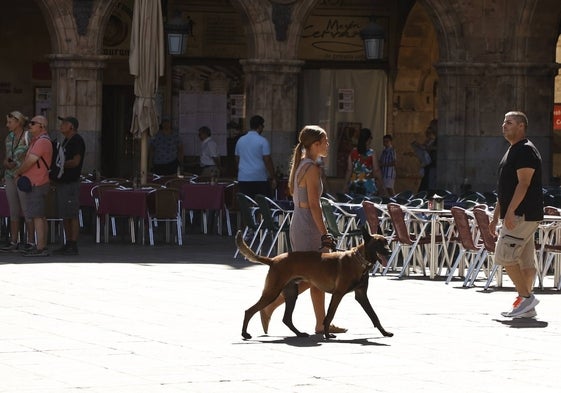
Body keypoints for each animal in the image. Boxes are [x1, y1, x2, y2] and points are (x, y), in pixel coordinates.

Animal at [237, 228, 394, 338]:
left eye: (386, 242)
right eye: (378, 243)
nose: (390, 252)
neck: (360, 261)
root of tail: (273, 260)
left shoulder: (361, 295)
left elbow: (374, 316)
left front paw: (385, 333)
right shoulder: (338, 294)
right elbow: (329, 314)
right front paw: (327, 335)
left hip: (291, 294)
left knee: (286, 318)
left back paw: (299, 333)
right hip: (272, 292)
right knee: (249, 310)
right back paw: (245, 333)